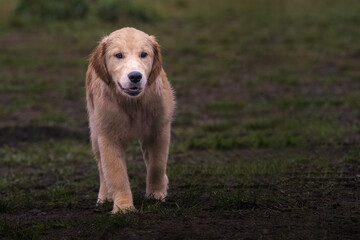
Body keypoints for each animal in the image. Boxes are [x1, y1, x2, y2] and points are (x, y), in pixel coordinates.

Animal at [84, 28, 174, 214]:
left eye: (144, 54)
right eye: (118, 55)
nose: (135, 76)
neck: (133, 104)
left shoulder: (159, 130)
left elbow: (157, 165)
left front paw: (156, 195)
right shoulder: (108, 137)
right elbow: (116, 174)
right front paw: (123, 208)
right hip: (95, 131)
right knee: (101, 168)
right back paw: (104, 197)